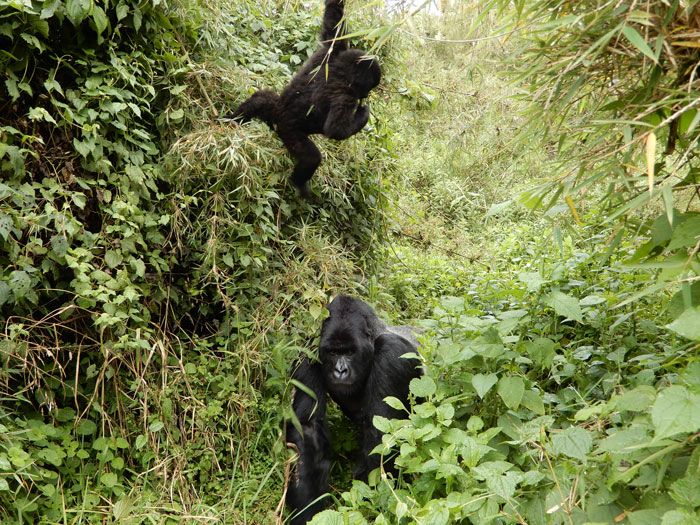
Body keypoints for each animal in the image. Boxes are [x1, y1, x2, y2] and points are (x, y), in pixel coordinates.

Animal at [230, 0, 382, 198]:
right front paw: (364, 112)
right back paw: (300, 184)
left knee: (261, 98)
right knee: (311, 157)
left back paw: (232, 119)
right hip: (288, 130)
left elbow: (334, 19)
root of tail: (277, 117)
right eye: (368, 88)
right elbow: (336, 129)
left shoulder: (334, 50)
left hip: (273, 108)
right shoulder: (346, 94)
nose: (366, 95)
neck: (344, 70)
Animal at [284, 296, 422, 520]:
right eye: (333, 352)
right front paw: (306, 509)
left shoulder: (391, 355)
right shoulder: (309, 352)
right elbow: (307, 427)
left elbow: (382, 437)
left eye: (349, 352)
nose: (340, 370)